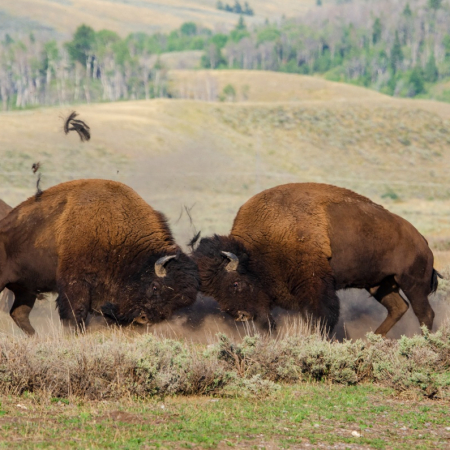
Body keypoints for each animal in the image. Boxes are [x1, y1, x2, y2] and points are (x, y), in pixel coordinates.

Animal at [0, 178, 199, 334]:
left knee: (19, 314)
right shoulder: (75, 284)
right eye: (155, 287)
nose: (144, 319)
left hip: (26, 289)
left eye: (177, 304)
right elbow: (74, 314)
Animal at [193, 181, 440, 336]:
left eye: (236, 283)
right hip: (380, 284)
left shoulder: (314, 287)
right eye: (214, 293)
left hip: (412, 282)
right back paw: (373, 339)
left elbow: (322, 316)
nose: (241, 316)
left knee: (424, 313)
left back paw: (423, 343)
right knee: (398, 308)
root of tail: (422, 240)